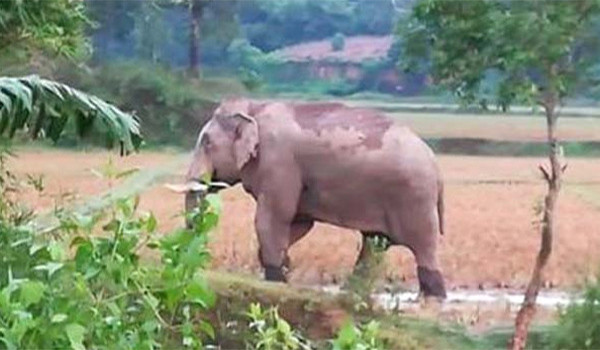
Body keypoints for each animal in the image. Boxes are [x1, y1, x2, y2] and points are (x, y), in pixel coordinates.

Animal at [177, 96, 446, 298]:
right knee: (374, 245)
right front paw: (284, 265)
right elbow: (299, 222)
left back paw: (433, 296)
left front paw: (276, 279)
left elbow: (272, 219)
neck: (254, 108)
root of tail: (436, 165)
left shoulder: (279, 163)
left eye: (206, 142)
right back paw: (352, 291)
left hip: (414, 198)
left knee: (424, 249)